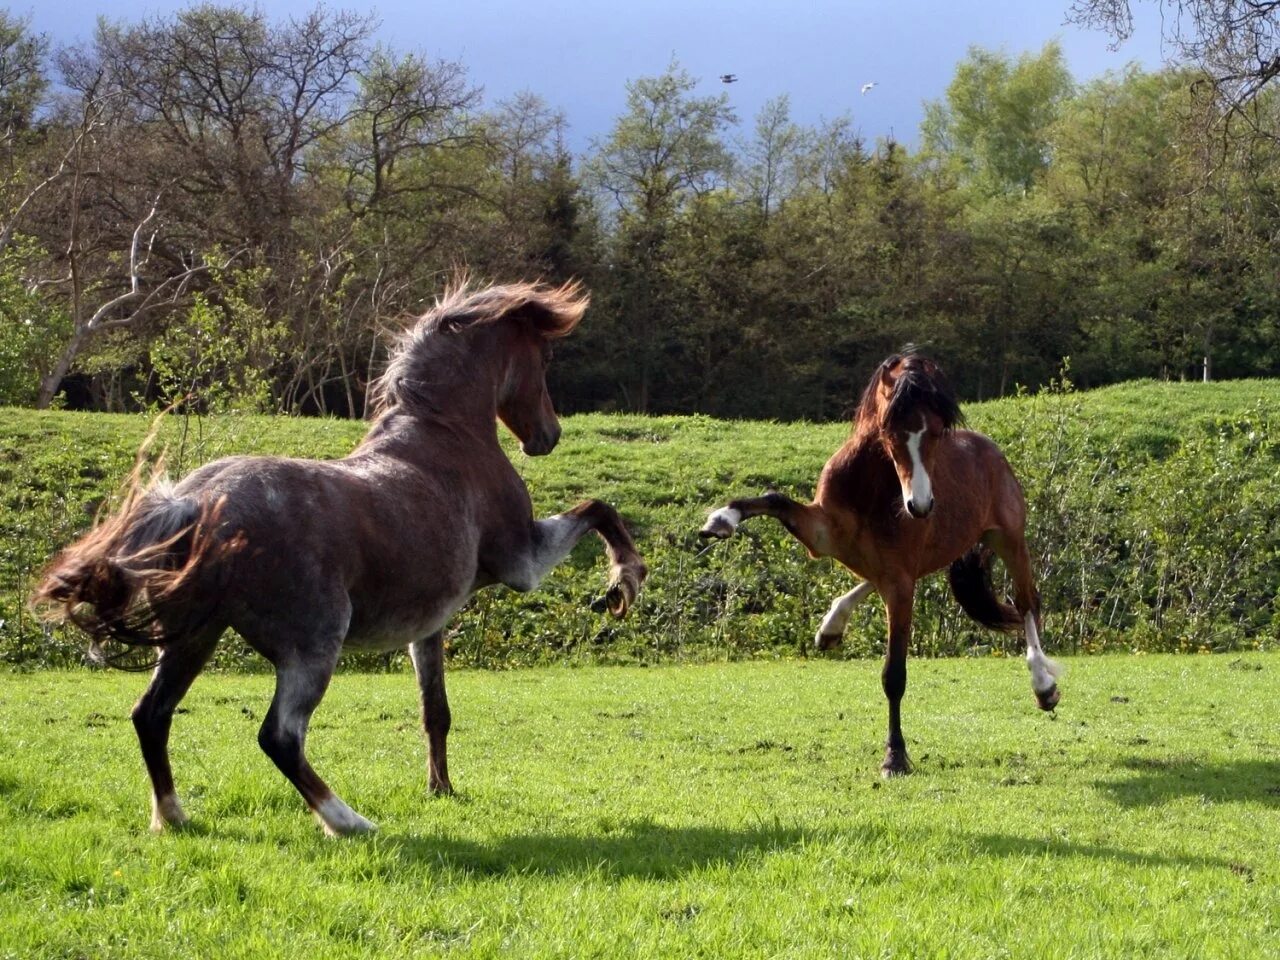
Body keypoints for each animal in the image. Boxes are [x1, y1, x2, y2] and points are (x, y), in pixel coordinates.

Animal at [35, 281, 645, 839]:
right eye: (543, 358)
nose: (548, 435)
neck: (446, 436)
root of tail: (195, 502)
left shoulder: (427, 626)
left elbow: (435, 710)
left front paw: (441, 788)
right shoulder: (525, 562)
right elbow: (598, 509)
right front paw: (624, 581)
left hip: (194, 637)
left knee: (152, 715)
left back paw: (173, 816)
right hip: (312, 645)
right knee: (278, 736)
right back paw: (348, 821)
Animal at [706, 353, 1054, 783]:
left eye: (936, 430)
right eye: (890, 429)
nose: (919, 506)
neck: (869, 488)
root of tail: (992, 452)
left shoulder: (900, 581)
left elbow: (894, 675)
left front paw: (895, 758)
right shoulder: (823, 535)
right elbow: (773, 499)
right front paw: (721, 519)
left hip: (1007, 539)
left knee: (1027, 603)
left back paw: (1044, 686)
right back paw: (831, 626)